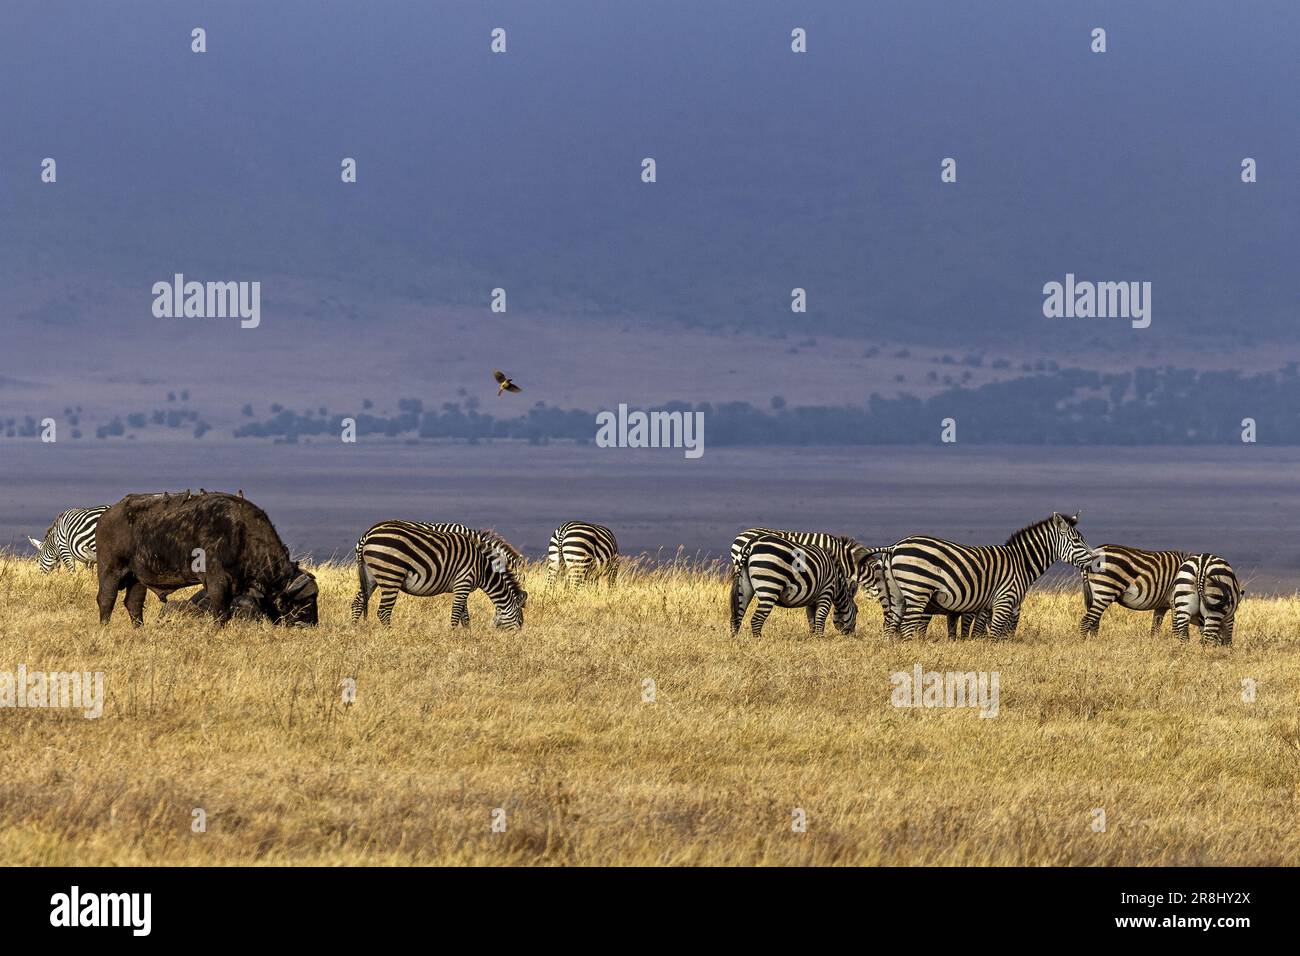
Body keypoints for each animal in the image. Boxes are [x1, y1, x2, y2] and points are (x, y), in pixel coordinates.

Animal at [94, 494, 318, 629]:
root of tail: (106, 515)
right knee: (106, 599)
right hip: (110, 570)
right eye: (306, 601)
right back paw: (104, 628)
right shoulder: (216, 582)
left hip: (137, 578)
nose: (313, 624)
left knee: (133, 603)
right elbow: (221, 614)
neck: (243, 535)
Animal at [351, 522, 527, 629]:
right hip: (391, 575)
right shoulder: (463, 581)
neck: (482, 565)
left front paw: (467, 635)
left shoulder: (462, 586)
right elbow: (457, 613)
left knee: (358, 602)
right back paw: (390, 634)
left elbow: (464, 614)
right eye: (520, 622)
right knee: (384, 611)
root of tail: (367, 535)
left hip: (370, 575)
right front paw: (454, 637)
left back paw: (354, 629)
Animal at [733, 535, 863, 639]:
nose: (853, 635)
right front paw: (821, 640)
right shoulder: (826, 592)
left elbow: (812, 620)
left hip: (743, 585)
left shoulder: (812, 600)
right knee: (757, 619)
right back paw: (759, 641)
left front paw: (813, 639)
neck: (837, 584)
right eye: (857, 611)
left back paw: (736, 640)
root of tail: (751, 545)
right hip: (769, 585)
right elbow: (821, 618)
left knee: (737, 615)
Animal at [873, 512, 1097, 639]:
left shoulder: (988, 606)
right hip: (917, 590)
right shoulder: (1004, 600)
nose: (1095, 561)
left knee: (890, 627)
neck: (1021, 562)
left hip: (897, 595)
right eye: (1076, 541)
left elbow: (989, 634)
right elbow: (995, 635)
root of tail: (895, 547)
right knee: (908, 627)